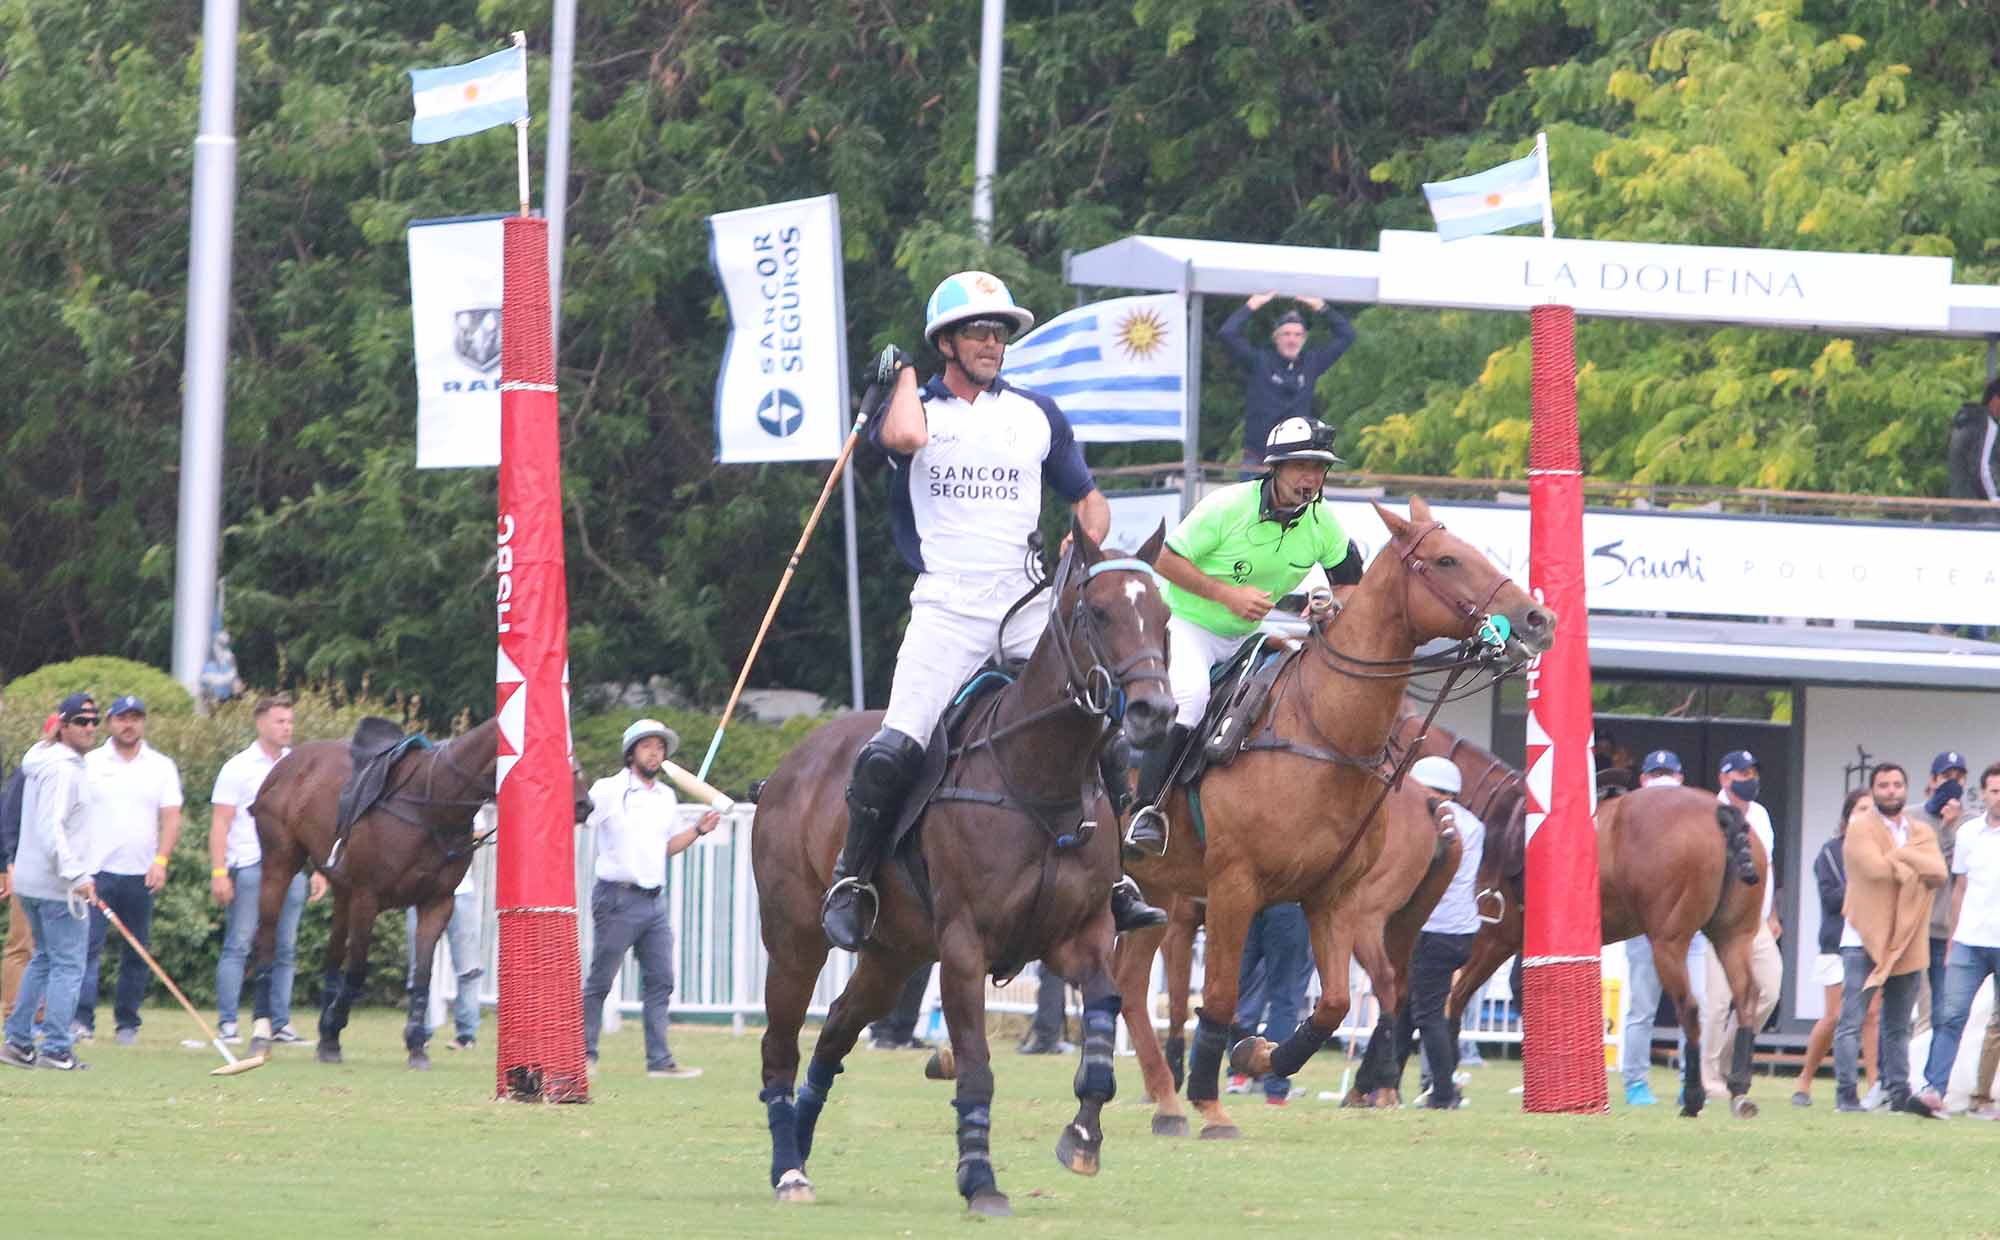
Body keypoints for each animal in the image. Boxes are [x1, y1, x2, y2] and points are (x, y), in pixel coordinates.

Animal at [246, 720, 588, 1072]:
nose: (583, 805)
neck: (432, 803)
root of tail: (284, 764)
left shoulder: (437, 903)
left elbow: (422, 974)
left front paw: (415, 1045)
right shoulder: (367, 899)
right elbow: (357, 971)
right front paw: (332, 1035)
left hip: (341, 891)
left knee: (332, 954)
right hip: (280, 865)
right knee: (267, 940)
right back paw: (263, 1032)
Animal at [756, 520, 1176, 1208]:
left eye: (1165, 616)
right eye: (1098, 612)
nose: (1155, 711)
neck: (1039, 778)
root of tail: (786, 766)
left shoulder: (1077, 936)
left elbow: (1103, 1013)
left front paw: (1083, 1137)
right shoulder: (963, 947)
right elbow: (975, 1067)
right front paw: (979, 1178)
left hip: (892, 955)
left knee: (837, 1028)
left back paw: (802, 1139)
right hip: (793, 940)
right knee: (779, 1047)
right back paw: (788, 1167)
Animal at [1112, 498, 1544, 1136]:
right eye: (1448, 559)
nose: (1538, 619)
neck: (1323, 729)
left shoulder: (1329, 896)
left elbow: (1334, 1005)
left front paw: (1259, 1056)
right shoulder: (1230, 889)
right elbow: (1214, 998)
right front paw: (1213, 1103)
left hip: (1161, 890)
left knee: (1132, 984)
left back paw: (1172, 1100)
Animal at [1424, 720, 1768, 1120]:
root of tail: (1719, 814)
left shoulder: (1494, 939)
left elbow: (1456, 1000)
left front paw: (1446, 1087)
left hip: (1668, 942)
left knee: (1690, 1008)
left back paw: (1694, 1096)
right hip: (1733, 936)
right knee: (1746, 996)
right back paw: (1738, 1089)